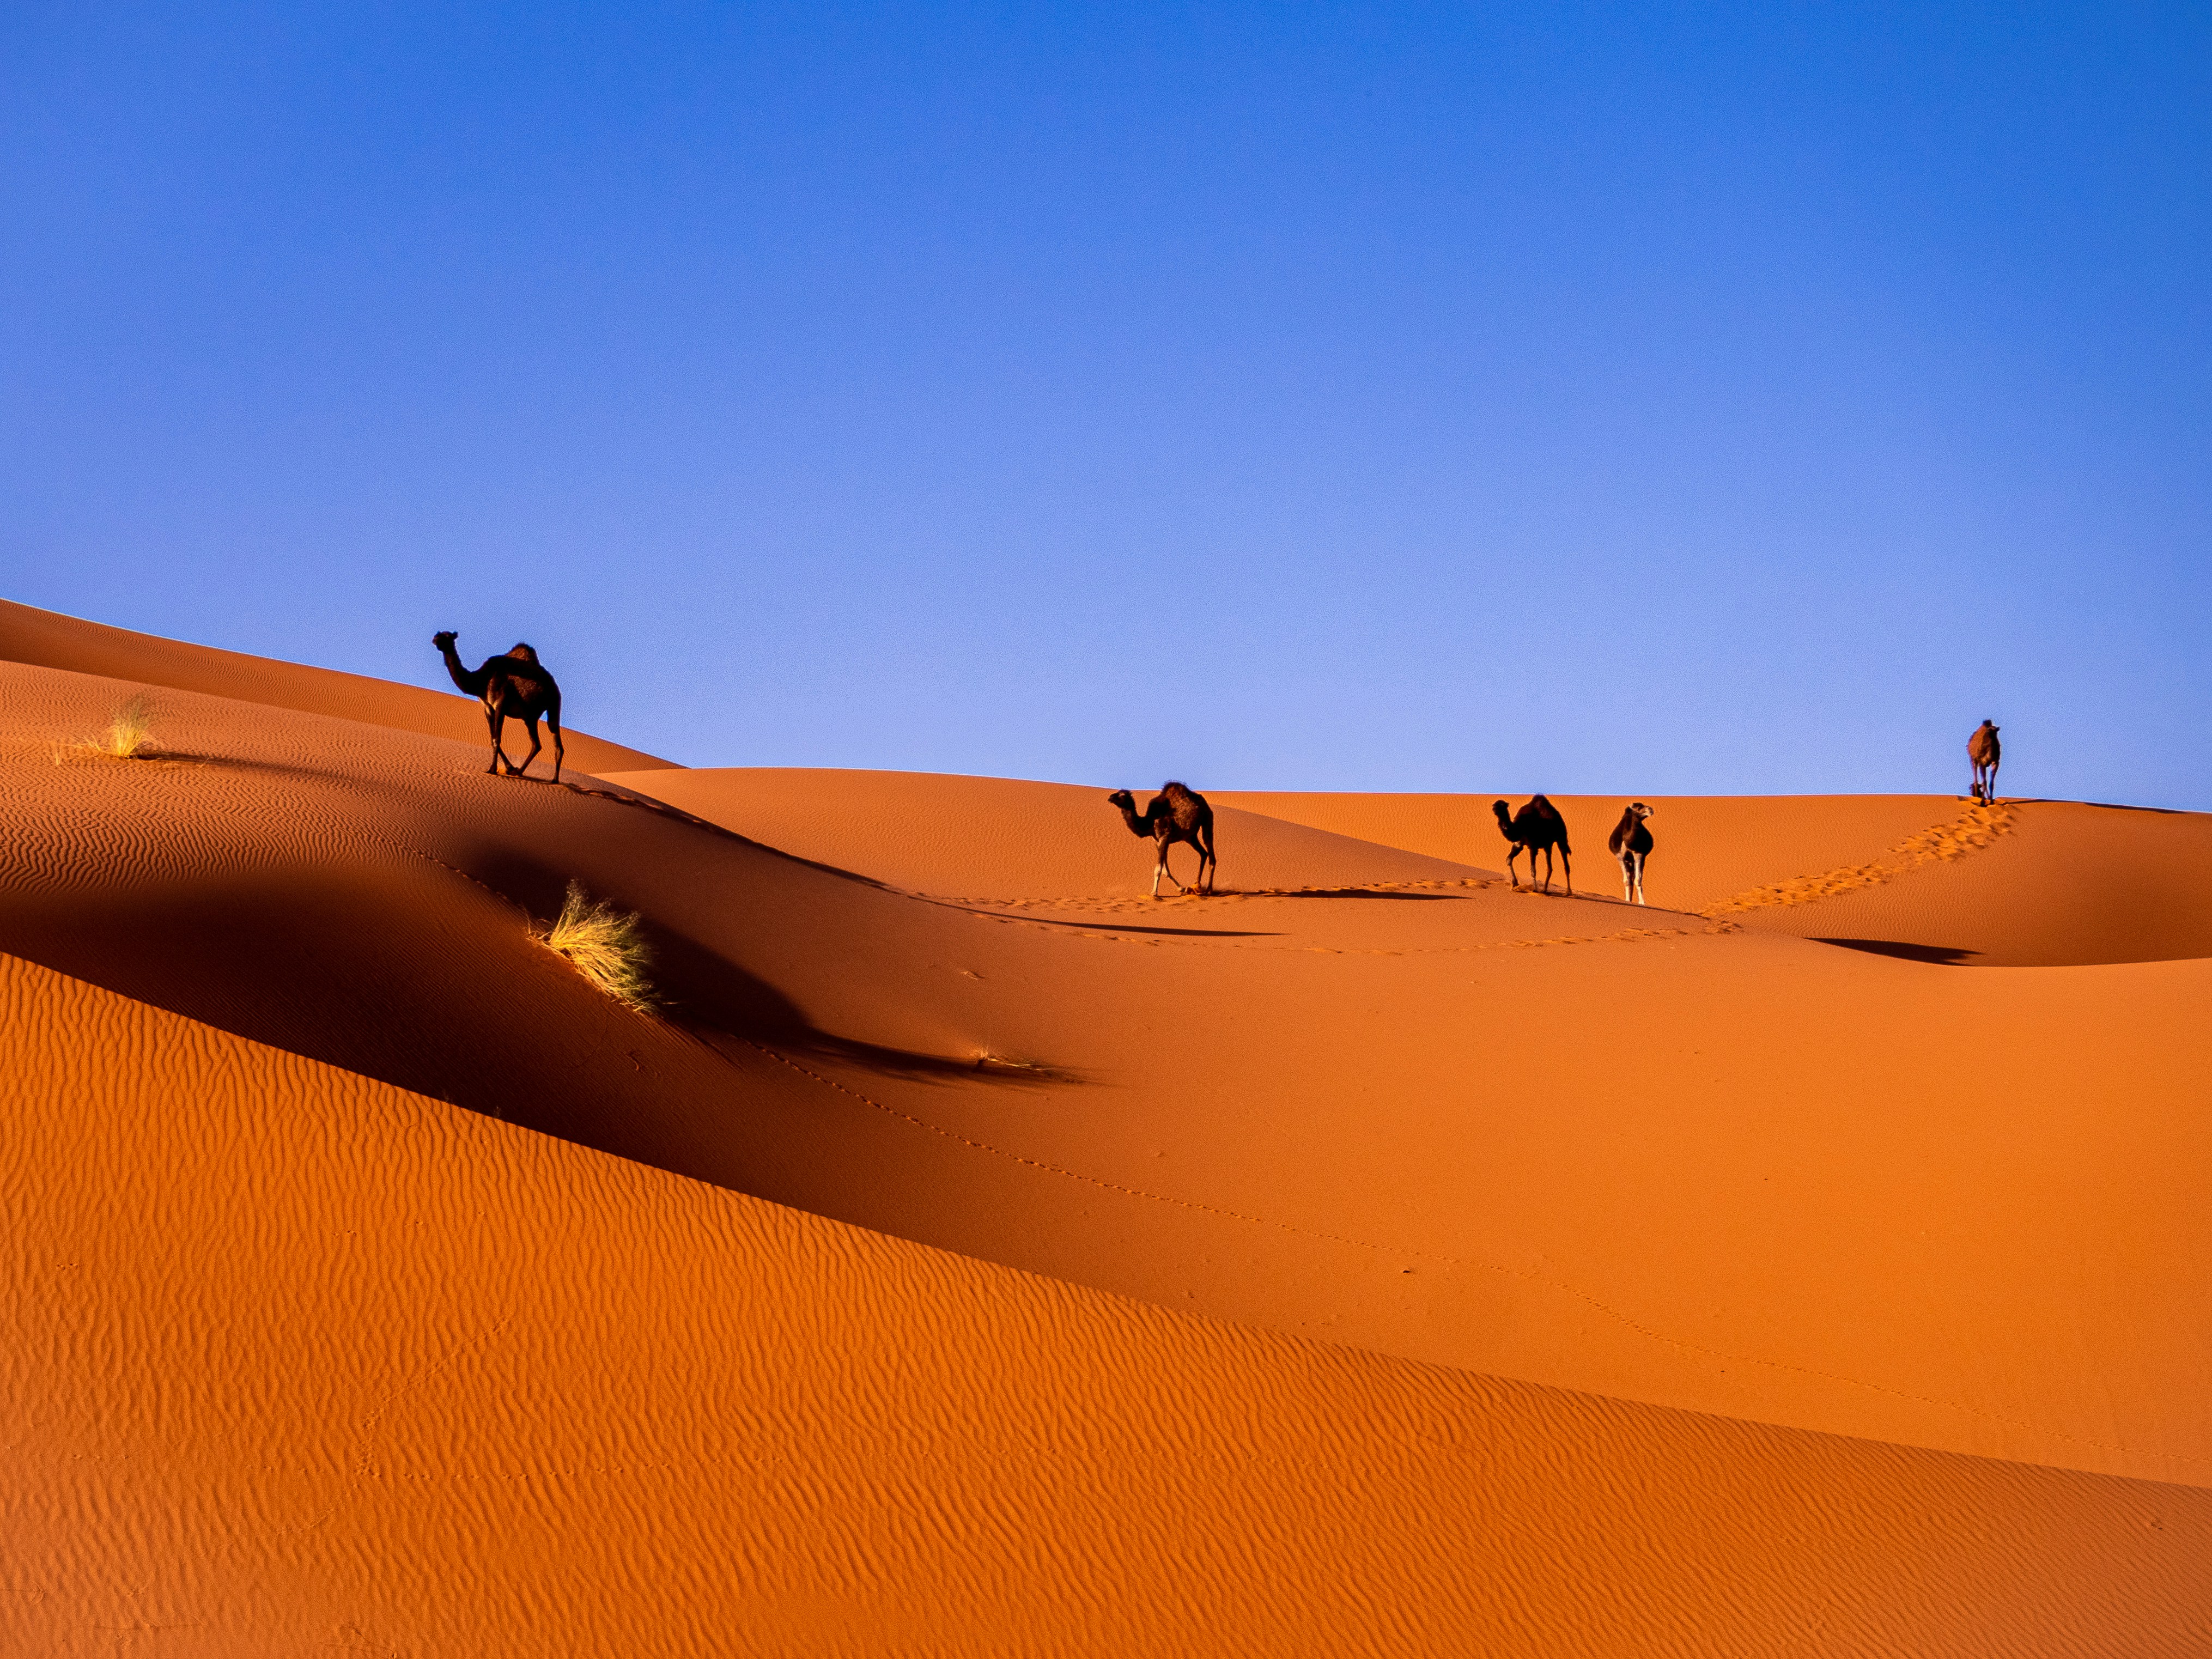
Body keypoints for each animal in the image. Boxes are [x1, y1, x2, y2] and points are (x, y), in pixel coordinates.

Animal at [433, 631, 565, 783]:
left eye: (447, 636)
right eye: (438, 634)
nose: (435, 640)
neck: (481, 681)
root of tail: (555, 687)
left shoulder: (501, 703)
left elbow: (497, 739)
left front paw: (493, 770)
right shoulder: (488, 707)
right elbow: (493, 738)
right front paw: (509, 768)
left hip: (552, 706)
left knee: (547, 737)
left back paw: (550, 779)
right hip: (530, 716)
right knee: (539, 744)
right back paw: (522, 772)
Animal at [1107, 782, 1217, 897]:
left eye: (1122, 795)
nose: (1110, 797)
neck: (1150, 822)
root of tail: (1203, 802)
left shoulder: (1165, 836)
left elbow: (1159, 869)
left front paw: (1154, 892)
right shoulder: (1157, 841)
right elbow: (1165, 870)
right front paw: (1183, 889)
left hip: (1207, 818)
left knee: (1210, 850)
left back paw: (1209, 890)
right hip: (1190, 836)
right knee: (1203, 853)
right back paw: (1197, 885)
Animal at [1492, 795, 1572, 894]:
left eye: (1502, 805)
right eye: (1495, 805)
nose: (1494, 809)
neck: (1519, 827)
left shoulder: (1532, 846)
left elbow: (1533, 870)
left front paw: (1535, 889)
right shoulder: (1519, 843)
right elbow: (1509, 860)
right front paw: (1515, 884)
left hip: (1561, 837)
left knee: (1565, 862)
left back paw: (1569, 891)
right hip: (1548, 844)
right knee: (1550, 867)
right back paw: (1545, 890)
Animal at [1607, 802, 1654, 905]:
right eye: (1637, 807)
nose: (1651, 809)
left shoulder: (1639, 853)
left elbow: (1638, 879)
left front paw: (1642, 902)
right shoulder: (1620, 856)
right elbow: (1627, 880)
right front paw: (1627, 900)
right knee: (1630, 877)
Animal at [1968, 720, 2001, 804]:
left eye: (1995, 730)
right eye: (1989, 730)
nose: (1989, 731)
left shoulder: (1996, 763)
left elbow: (1991, 784)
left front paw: (1992, 801)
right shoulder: (1982, 763)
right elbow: (1984, 782)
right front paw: (1982, 802)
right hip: (1973, 760)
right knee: (1976, 778)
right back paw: (1977, 796)